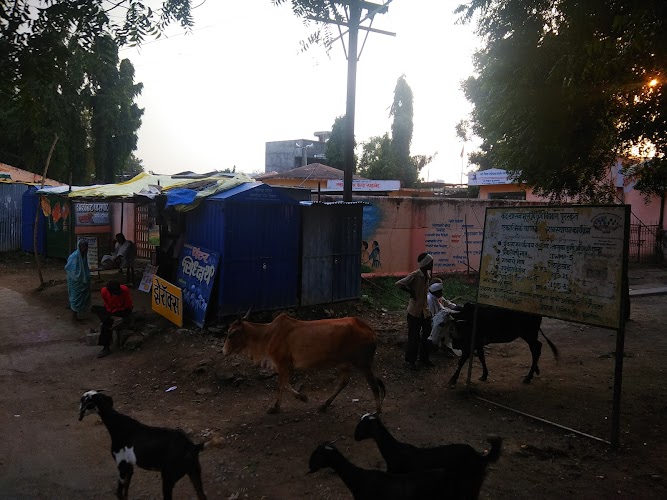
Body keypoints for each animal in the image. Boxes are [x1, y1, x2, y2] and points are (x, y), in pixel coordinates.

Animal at [79, 390, 222, 500]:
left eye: (85, 400)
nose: (78, 410)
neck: (118, 425)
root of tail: (192, 447)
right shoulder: (130, 468)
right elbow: (125, 492)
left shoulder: (122, 467)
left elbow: (119, 493)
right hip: (194, 474)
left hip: (168, 479)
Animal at [222, 311, 386, 414]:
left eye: (231, 333)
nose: (223, 351)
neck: (266, 335)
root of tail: (370, 330)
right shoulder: (286, 366)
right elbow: (286, 384)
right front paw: (302, 397)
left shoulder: (283, 364)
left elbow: (281, 386)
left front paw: (276, 407)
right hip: (346, 364)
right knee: (343, 382)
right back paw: (324, 405)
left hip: (363, 364)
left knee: (374, 385)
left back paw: (377, 411)